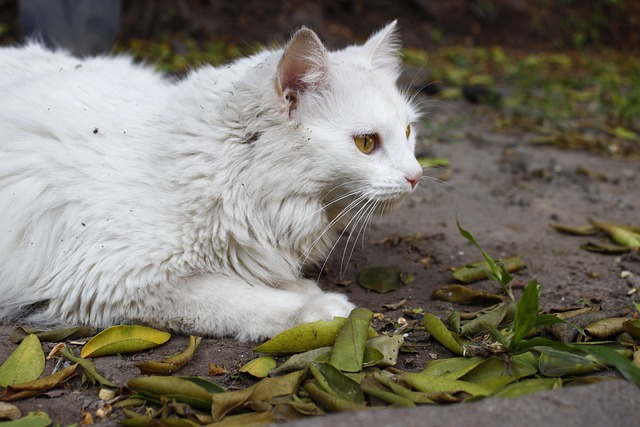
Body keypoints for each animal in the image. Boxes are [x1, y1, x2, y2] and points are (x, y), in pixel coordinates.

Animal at [1, 21, 424, 342]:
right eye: (366, 143)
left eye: (407, 132)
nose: (417, 176)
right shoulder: (111, 280)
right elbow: (237, 299)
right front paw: (316, 308)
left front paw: (299, 287)